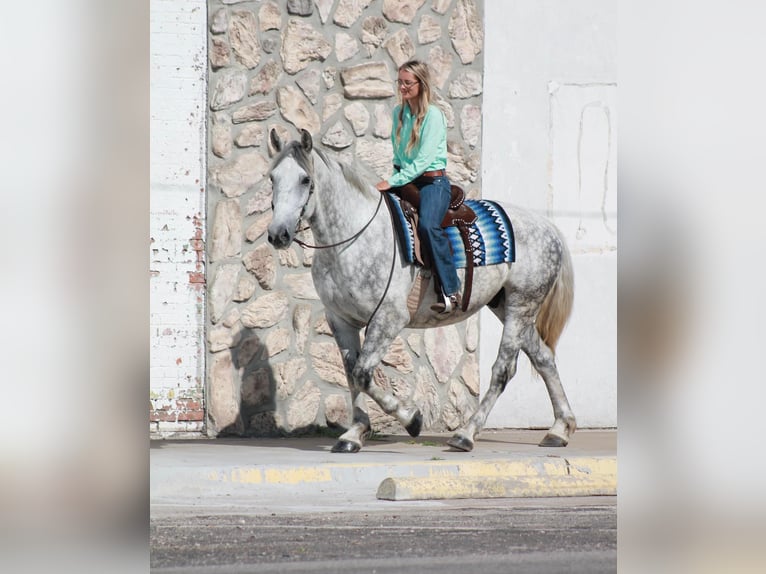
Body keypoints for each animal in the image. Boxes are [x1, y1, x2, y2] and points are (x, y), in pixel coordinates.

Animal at [268, 130, 572, 454]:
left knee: (504, 370)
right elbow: (352, 374)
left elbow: (363, 373)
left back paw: (466, 434)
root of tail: (547, 226)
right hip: (508, 306)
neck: (352, 239)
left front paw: (411, 419)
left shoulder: (389, 317)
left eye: (305, 180)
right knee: (543, 357)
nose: (278, 234)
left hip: (520, 304)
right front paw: (354, 434)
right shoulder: (340, 320)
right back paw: (560, 429)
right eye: (272, 177)